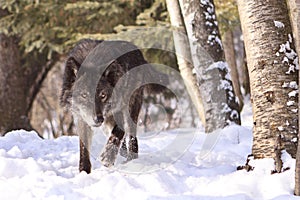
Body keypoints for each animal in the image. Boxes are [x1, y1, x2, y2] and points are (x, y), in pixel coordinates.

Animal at [59, 39, 168, 173]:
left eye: (103, 95)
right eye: (84, 95)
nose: (98, 119)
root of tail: (140, 54)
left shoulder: (119, 109)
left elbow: (118, 133)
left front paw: (108, 157)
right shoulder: (82, 118)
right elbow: (84, 149)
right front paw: (84, 172)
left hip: (131, 109)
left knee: (131, 136)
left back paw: (131, 159)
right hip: (107, 122)